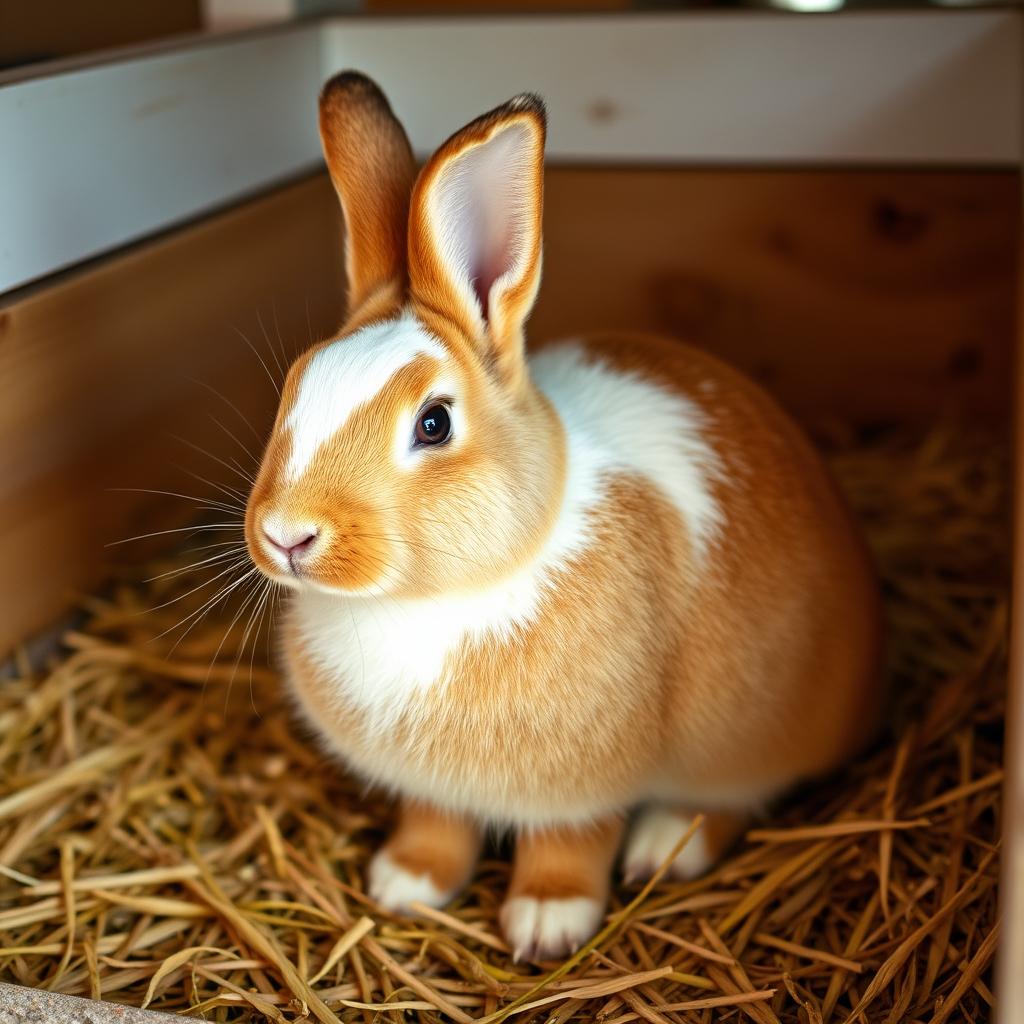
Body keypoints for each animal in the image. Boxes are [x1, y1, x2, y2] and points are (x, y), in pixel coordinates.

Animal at [243, 70, 883, 962]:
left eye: (433, 423)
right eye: (295, 385)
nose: (286, 535)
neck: (428, 604)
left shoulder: (587, 786)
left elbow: (573, 843)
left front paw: (547, 922)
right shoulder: (433, 788)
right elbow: (436, 825)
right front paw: (407, 884)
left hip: (748, 735)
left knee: (734, 794)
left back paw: (665, 844)